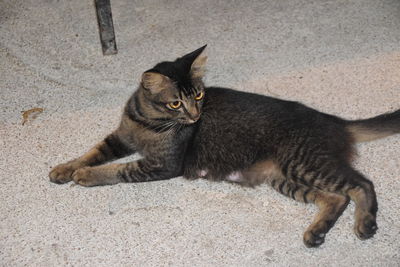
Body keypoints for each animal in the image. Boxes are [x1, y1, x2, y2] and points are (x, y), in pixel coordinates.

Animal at [50, 45, 400, 248]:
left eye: (199, 95)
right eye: (176, 102)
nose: (195, 115)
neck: (149, 122)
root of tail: (334, 120)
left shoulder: (162, 165)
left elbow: (119, 169)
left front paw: (85, 176)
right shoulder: (121, 137)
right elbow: (92, 152)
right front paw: (64, 168)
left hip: (304, 162)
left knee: (361, 184)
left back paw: (366, 223)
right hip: (284, 177)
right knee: (336, 197)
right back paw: (317, 232)